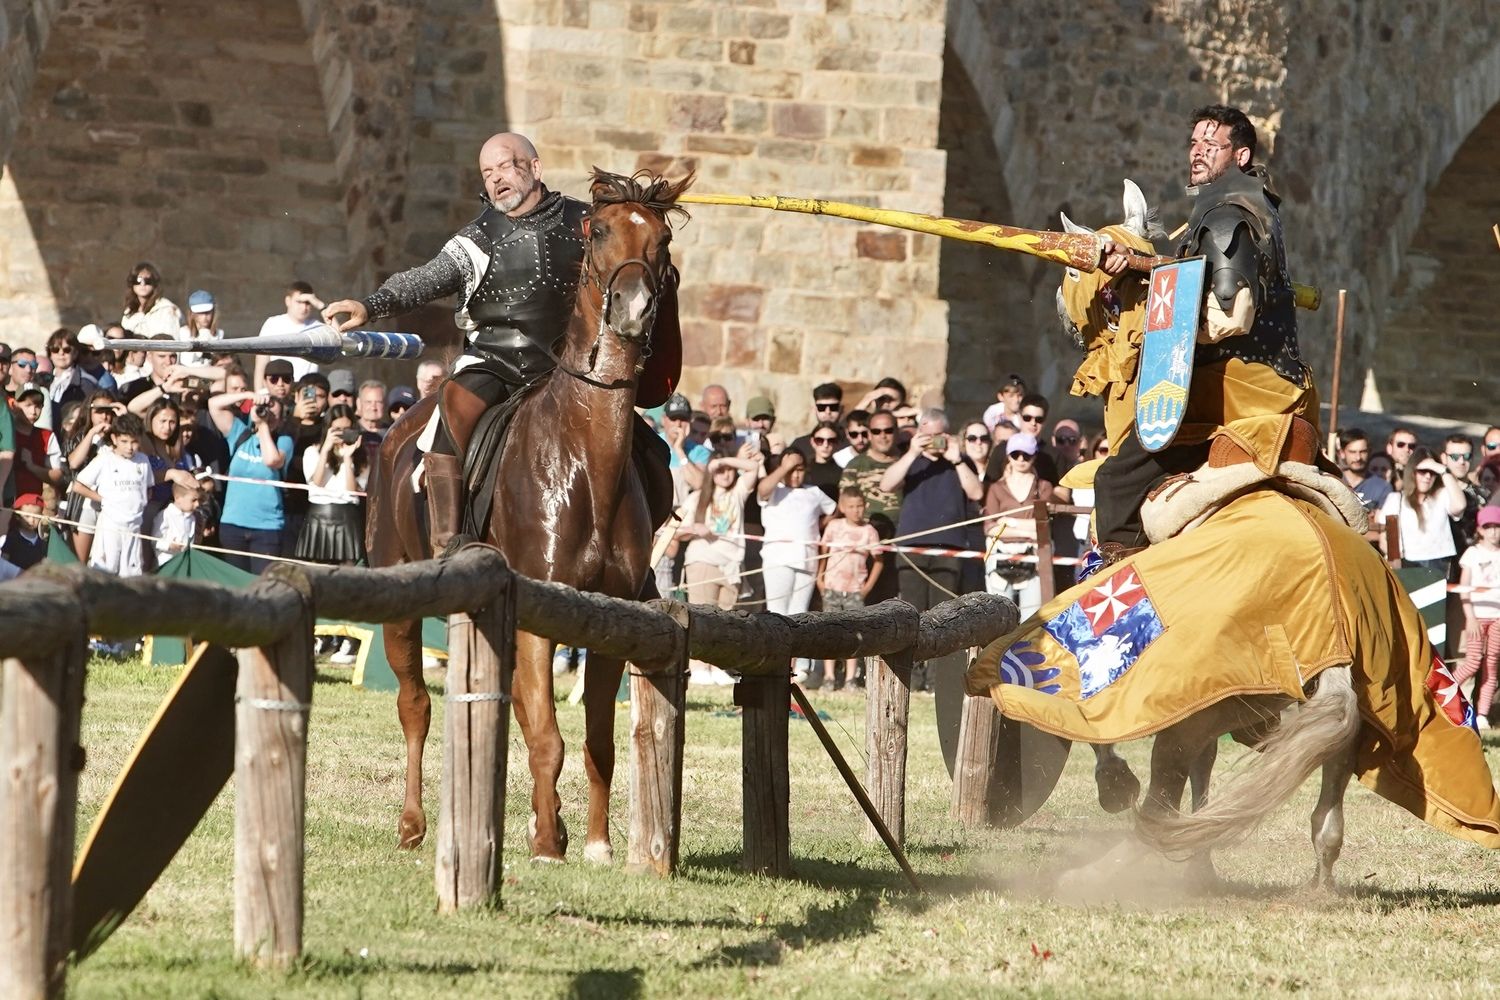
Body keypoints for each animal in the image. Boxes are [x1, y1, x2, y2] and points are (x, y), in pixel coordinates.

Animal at [366, 167, 693, 863]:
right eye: (599, 231)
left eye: (662, 239)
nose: (633, 306)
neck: (583, 459)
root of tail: (399, 428)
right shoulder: (537, 616)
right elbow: (548, 735)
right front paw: (546, 841)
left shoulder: (610, 623)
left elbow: (595, 741)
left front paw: (593, 841)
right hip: (400, 594)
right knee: (415, 705)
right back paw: (413, 822)